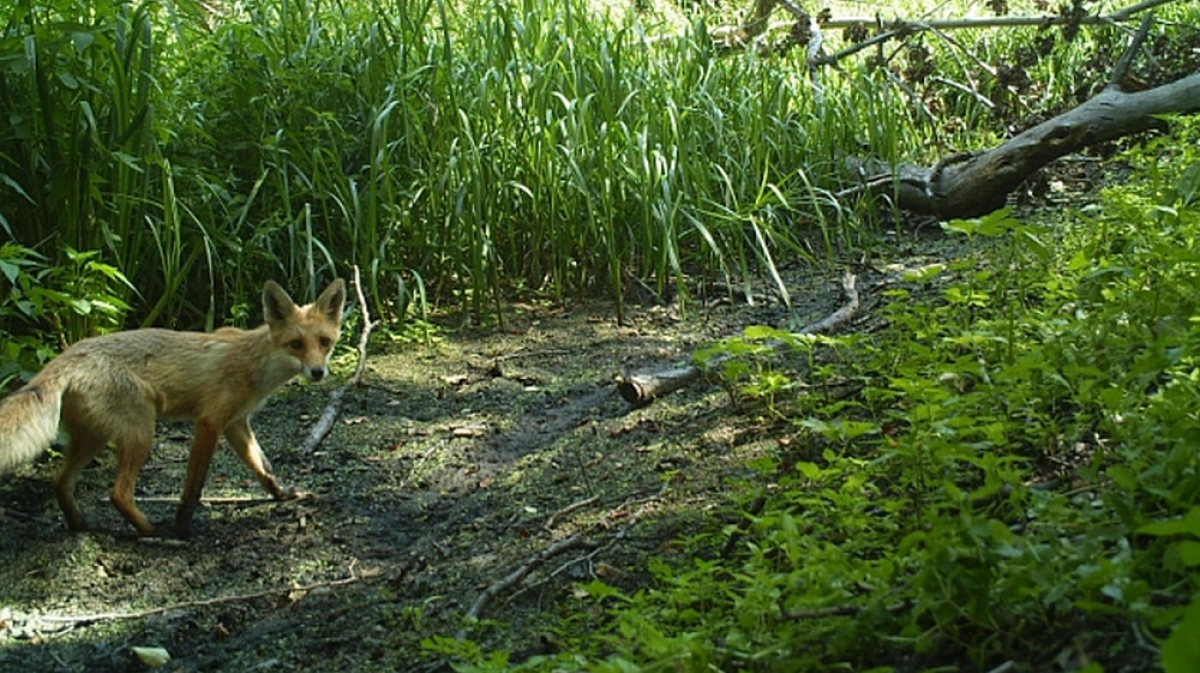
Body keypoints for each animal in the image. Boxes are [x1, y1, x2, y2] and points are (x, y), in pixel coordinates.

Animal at [1, 277, 348, 535]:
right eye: (296, 345)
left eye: (324, 342)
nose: (318, 372)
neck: (255, 364)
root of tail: (68, 355)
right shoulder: (209, 422)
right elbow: (193, 487)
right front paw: (183, 528)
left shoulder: (236, 424)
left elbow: (263, 469)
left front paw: (283, 495)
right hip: (141, 434)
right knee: (118, 494)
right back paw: (153, 533)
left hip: (93, 438)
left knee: (60, 483)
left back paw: (81, 526)